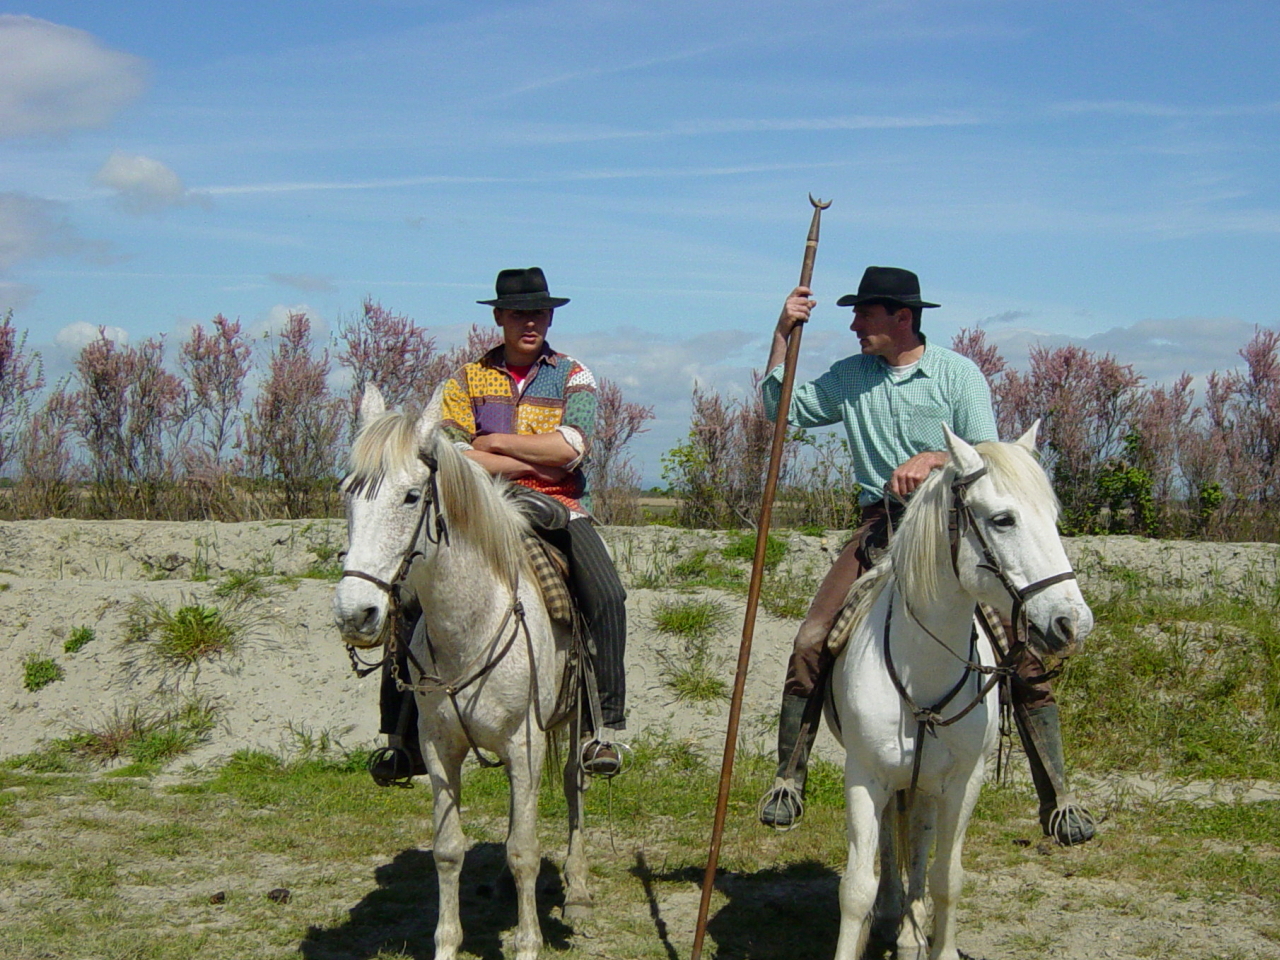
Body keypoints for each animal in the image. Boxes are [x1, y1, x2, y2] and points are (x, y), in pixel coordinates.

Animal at [330, 384, 588, 960]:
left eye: (410, 497)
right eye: (348, 493)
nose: (356, 614)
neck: (472, 626)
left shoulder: (524, 747)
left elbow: (524, 850)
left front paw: (528, 944)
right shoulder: (437, 746)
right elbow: (448, 849)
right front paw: (447, 944)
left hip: (578, 721)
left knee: (573, 785)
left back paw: (578, 891)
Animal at [829, 427, 1090, 960]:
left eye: (1054, 519)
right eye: (1003, 519)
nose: (1072, 623)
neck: (922, 670)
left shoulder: (963, 783)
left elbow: (947, 875)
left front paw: (935, 940)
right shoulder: (864, 776)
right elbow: (857, 887)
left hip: (929, 782)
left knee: (919, 838)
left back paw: (911, 926)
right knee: (892, 838)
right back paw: (893, 914)